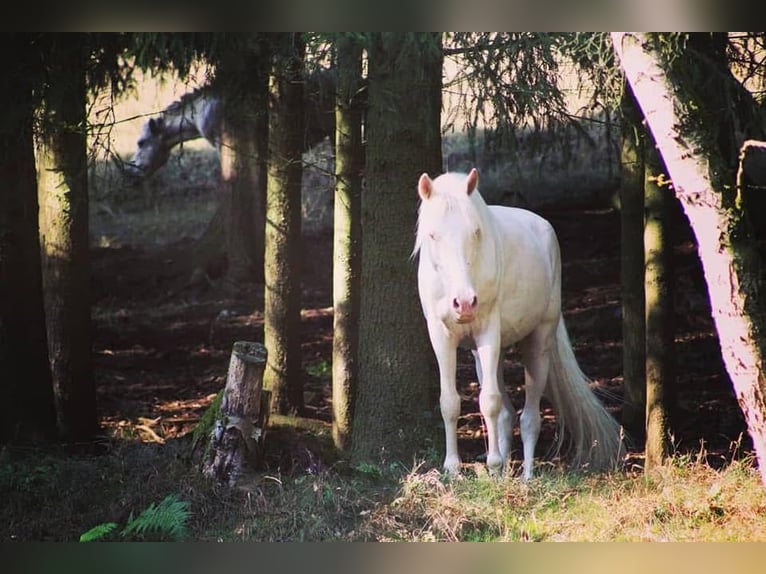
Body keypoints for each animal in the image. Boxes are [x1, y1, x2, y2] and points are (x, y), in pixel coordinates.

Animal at [414, 168, 624, 482]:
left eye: (475, 232)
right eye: (432, 235)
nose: (464, 303)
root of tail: (544, 226)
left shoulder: (488, 332)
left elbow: (488, 401)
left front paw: (494, 464)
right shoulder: (442, 336)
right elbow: (450, 402)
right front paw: (453, 469)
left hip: (538, 342)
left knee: (529, 416)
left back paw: (526, 476)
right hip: (487, 353)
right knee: (506, 413)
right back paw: (502, 474)